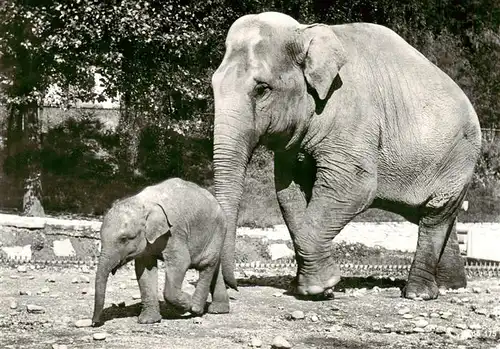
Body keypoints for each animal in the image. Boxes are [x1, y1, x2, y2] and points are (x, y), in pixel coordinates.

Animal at [91, 178, 236, 324]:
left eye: (124, 239)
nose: (95, 323)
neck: (144, 204)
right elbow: (145, 270)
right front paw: (148, 321)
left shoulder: (175, 232)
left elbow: (181, 262)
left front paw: (187, 305)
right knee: (214, 267)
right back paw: (218, 310)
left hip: (216, 232)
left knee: (206, 265)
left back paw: (196, 308)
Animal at [211, 11, 480, 300]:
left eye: (261, 89)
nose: (234, 288)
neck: (306, 32)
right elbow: (288, 194)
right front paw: (308, 286)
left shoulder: (354, 116)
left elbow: (354, 185)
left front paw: (320, 287)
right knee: (439, 216)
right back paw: (451, 285)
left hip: (457, 158)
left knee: (435, 214)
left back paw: (419, 294)